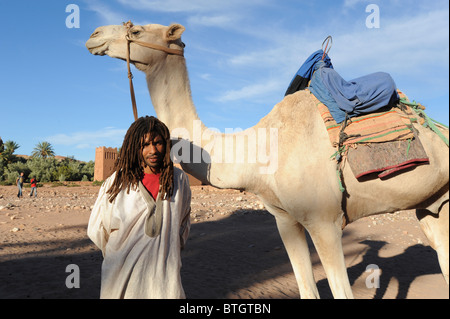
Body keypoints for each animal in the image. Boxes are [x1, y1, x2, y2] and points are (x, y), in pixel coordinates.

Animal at [86, 22, 448, 300]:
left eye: (136, 28)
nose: (94, 34)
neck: (258, 153)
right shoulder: (286, 220)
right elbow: (306, 289)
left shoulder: (325, 220)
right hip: (432, 204)